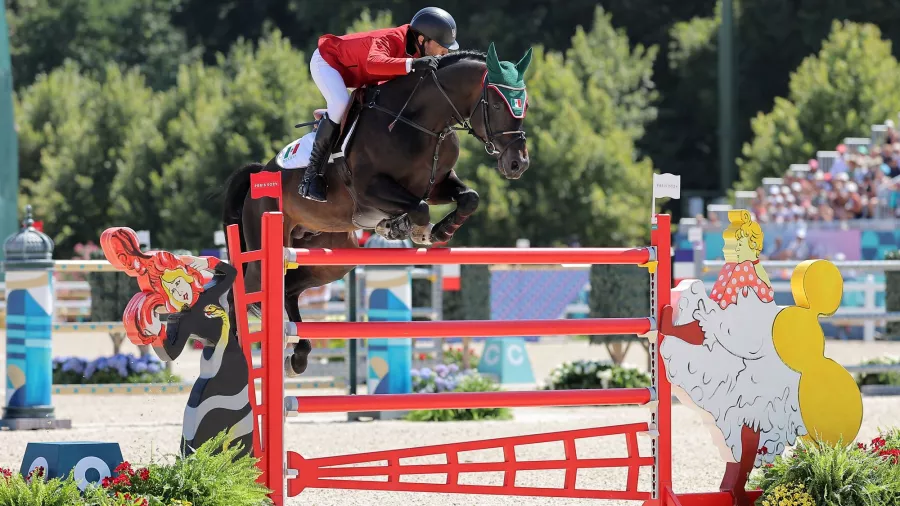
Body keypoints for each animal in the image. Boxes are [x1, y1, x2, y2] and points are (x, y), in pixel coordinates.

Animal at [224, 43, 532, 376]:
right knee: (240, 293)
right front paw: (407, 229)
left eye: (524, 104)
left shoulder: (437, 185)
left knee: (289, 290)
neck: (423, 122)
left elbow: (469, 198)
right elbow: (420, 208)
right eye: (498, 104)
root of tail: (260, 174)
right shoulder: (370, 190)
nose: (518, 163)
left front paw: (439, 231)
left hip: (330, 257)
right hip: (266, 248)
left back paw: (299, 356)